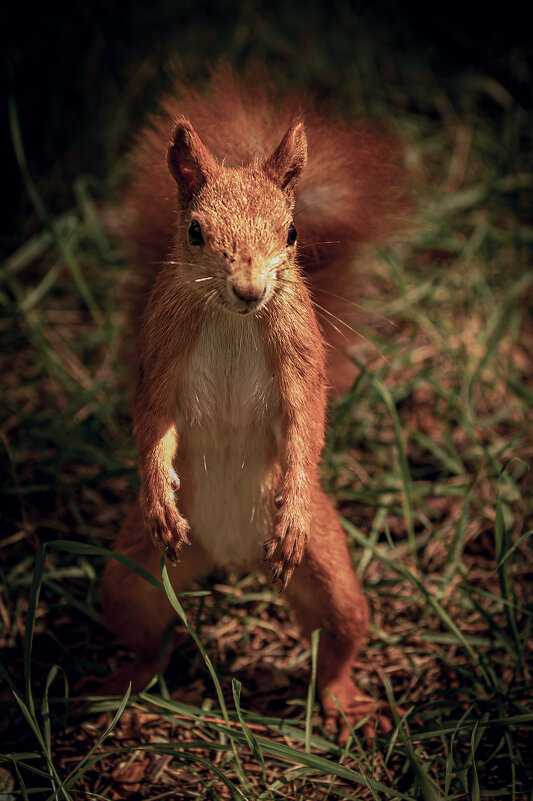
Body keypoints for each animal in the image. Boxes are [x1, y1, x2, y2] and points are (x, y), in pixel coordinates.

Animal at [102, 70, 406, 736]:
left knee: (339, 638)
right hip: (131, 578)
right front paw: (158, 495)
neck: (233, 318)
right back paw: (126, 687)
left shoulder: (299, 358)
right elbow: (152, 424)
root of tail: (230, 559)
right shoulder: (160, 352)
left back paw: (343, 700)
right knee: (143, 634)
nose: (250, 289)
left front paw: (291, 505)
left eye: (292, 234)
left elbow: (306, 426)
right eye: (195, 232)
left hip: (328, 571)